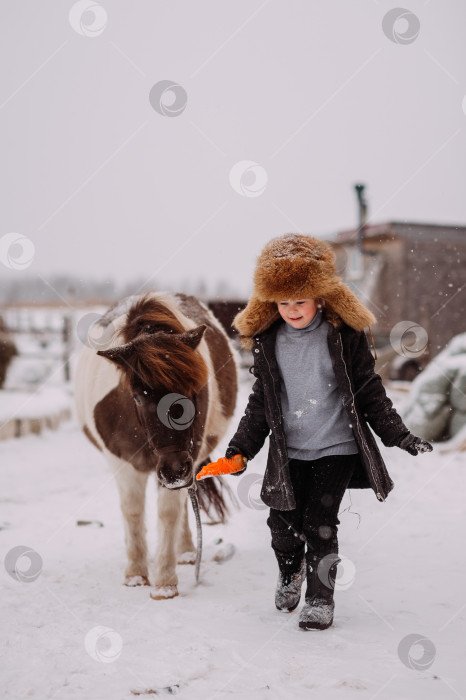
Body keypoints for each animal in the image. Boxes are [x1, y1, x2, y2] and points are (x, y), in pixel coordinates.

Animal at [74, 292, 238, 600]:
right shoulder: (123, 465)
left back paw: (185, 551)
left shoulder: (186, 463)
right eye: (138, 397)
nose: (173, 469)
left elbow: (169, 513)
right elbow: (132, 511)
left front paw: (164, 582)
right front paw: (136, 573)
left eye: (194, 392)